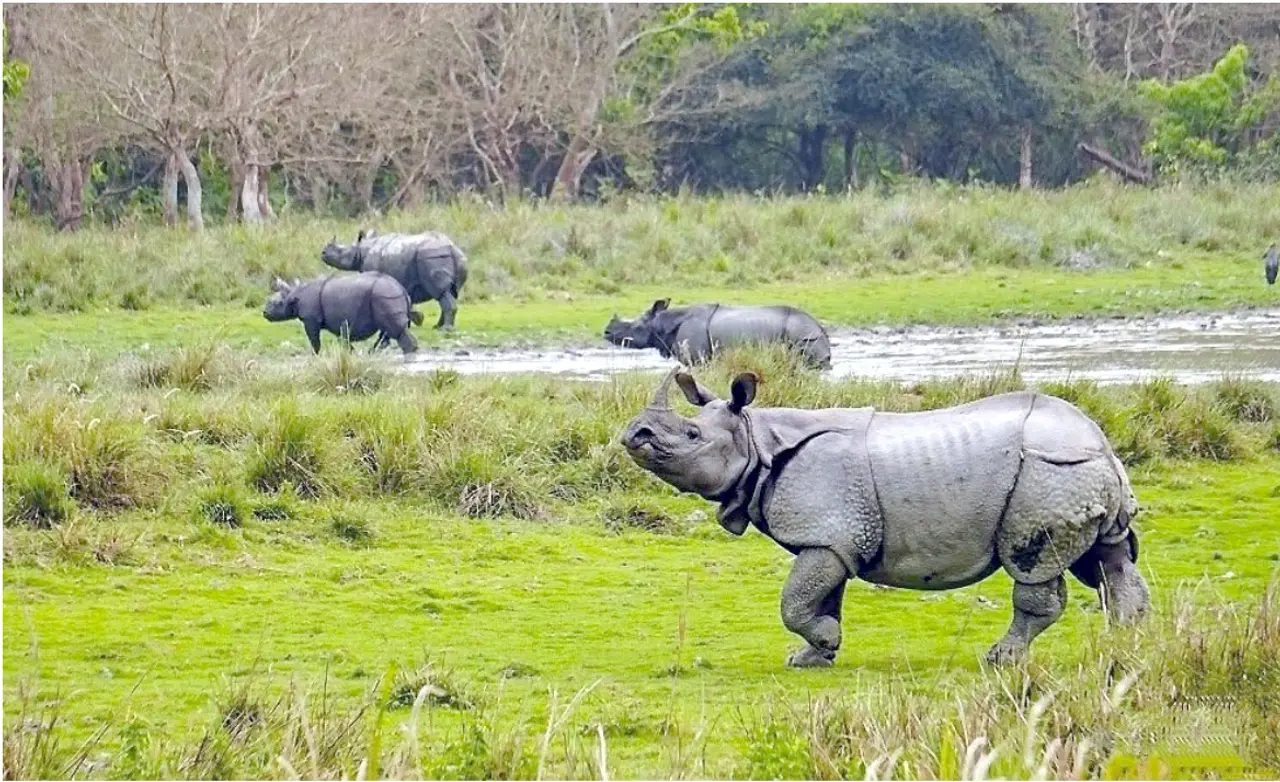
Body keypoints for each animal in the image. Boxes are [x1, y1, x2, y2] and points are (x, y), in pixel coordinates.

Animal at [263, 273, 423, 355]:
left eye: (277, 304)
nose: (264, 313)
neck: (294, 294)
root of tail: (402, 289)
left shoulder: (310, 319)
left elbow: (314, 340)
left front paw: (315, 355)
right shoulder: (336, 321)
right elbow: (343, 339)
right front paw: (351, 353)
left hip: (385, 295)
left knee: (396, 331)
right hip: (386, 296)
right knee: (389, 330)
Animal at [321, 230, 468, 330]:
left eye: (340, 251)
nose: (323, 253)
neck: (361, 249)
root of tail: (452, 248)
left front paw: (416, 319)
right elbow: (407, 300)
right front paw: (416, 319)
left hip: (432, 257)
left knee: (441, 292)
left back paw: (445, 330)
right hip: (454, 258)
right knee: (449, 293)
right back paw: (438, 327)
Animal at [604, 300, 832, 369]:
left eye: (634, 327)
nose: (606, 332)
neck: (662, 323)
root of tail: (820, 328)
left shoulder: (698, 359)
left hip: (804, 336)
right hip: (807, 335)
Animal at [621, 369, 1150, 668]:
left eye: (691, 436)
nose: (634, 434)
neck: (757, 440)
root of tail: (1102, 444)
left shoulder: (827, 534)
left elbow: (794, 602)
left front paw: (821, 644)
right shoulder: (832, 537)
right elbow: (821, 598)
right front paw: (813, 656)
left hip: (1048, 472)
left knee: (1035, 567)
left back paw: (1001, 660)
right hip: (1075, 474)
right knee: (1108, 560)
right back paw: (1124, 646)